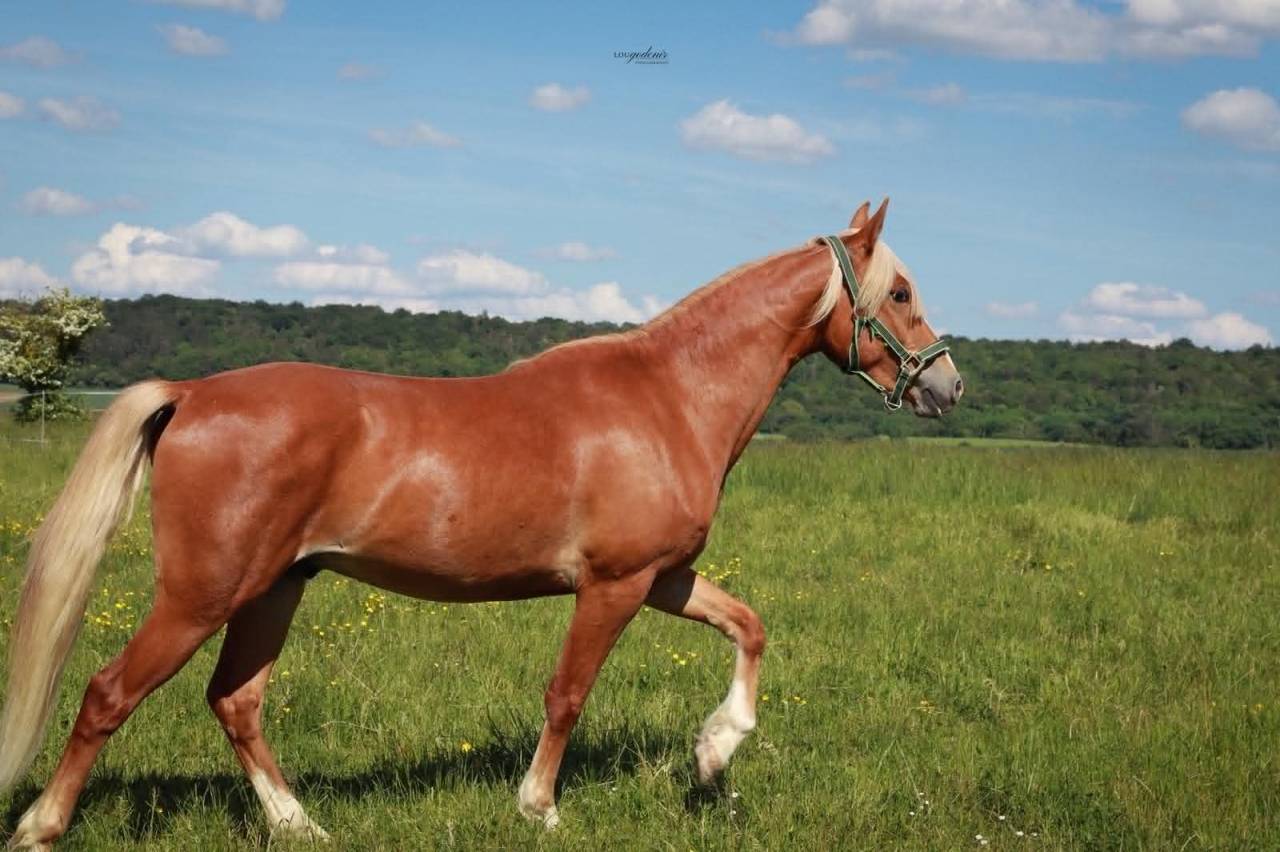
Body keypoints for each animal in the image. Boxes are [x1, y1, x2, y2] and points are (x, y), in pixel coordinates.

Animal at [0, 199, 962, 847]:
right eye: (901, 292)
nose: (948, 386)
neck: (669, 397)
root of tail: (194, 393)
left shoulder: (662, 579)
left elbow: (749, 627)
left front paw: (714, 754)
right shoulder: (613, 586)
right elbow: (567, 693)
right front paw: (540, 808)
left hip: (274, 589)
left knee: (236, 701)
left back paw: (299, 824)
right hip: (202, 595)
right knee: (108, 694)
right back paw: (41, 827)